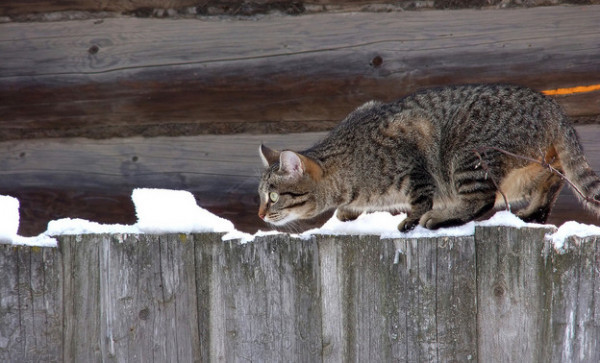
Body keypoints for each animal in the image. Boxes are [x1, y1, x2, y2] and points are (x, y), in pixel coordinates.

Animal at [255, 84, 596, 232]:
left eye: (273, 196)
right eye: (261, 196)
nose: (259, 214)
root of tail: (552, 105)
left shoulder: (413, 155)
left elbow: (420, 196)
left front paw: (413, 217)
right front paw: (348, 211)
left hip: (466, 155)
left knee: (480, 201)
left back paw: (441, 217)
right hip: (532, 168)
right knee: (550, 186)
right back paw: (530, 214)